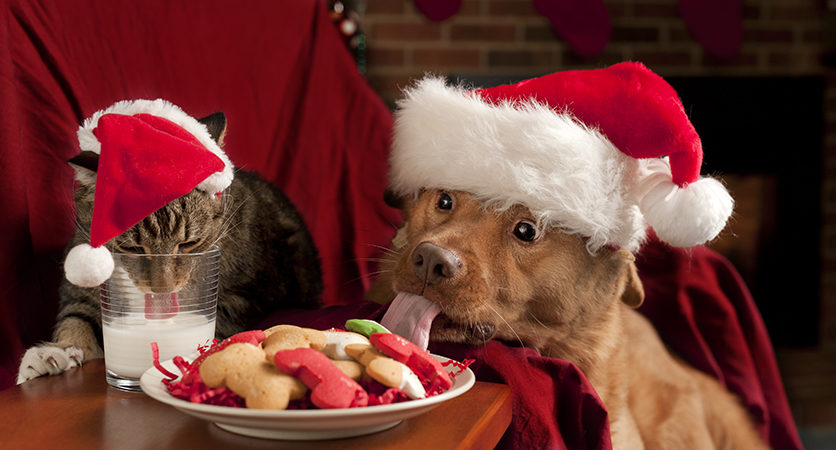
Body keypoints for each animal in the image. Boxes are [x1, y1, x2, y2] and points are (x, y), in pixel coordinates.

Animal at [17, 110, 324, 382]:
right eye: (133, 249)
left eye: (189, 244)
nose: (161, 289)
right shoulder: (81, 294)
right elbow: (76, 320)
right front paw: (54, 353)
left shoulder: (245, 296)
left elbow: (216, 320)